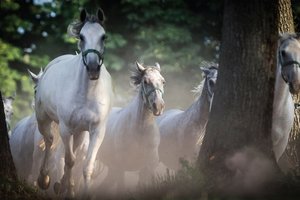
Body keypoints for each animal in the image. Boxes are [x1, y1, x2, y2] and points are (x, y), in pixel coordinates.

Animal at [33, 9, 112, 197]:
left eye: (103, 36)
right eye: (82, 37)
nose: (93, 68)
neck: (86, 94)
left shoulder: (97, 131)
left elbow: (87, 165)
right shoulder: (66, 128)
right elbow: (69, 160)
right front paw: (68, 191)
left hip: (80, 132)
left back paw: (60, 184)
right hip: (44, 120)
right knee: (49, 141)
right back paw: (44, 179)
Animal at [96, 61, 165, 193]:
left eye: (163, 81)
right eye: (145, 81)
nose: (158, 106)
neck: (140, 132)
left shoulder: (147, 169)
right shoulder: (121, 168)